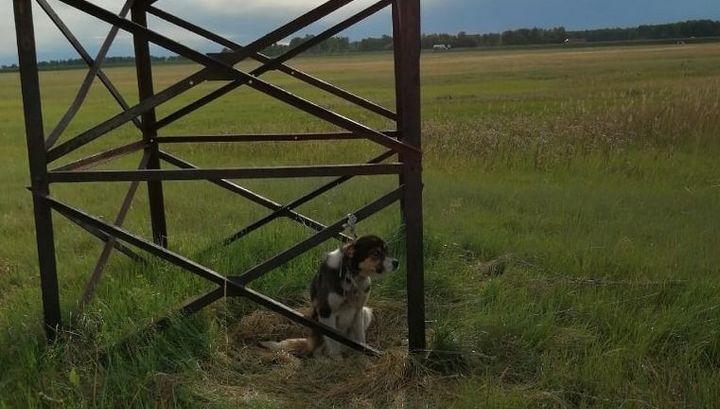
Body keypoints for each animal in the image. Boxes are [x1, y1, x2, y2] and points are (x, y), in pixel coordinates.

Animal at [260, 234, 400, 356]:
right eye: (375, 253)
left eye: (387, 251)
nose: (396, 262)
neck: (351, 277)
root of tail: (309, 342)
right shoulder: (326, 311)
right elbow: (334, 344)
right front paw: (337, 361)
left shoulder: (358, 309)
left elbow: (360, 340)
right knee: (318, 352)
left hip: (366, 312)